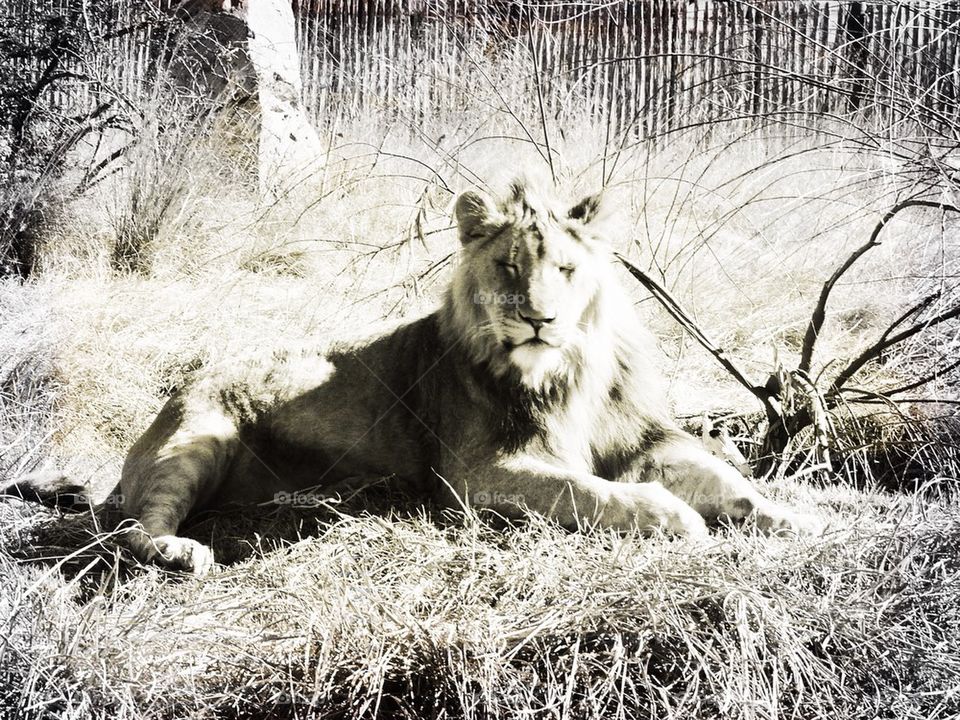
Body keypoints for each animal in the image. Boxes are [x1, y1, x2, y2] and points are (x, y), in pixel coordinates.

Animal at [18, 179, 814, 575]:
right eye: (509, 267)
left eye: (565, 269)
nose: (540, 320)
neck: (566, 374)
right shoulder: (476, 471)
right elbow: (590, 491)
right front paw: (675, 518)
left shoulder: (643, 438)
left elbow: (728, 481)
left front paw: (798, 518)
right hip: (198, 439)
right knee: (133, 526)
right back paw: (181, 551)